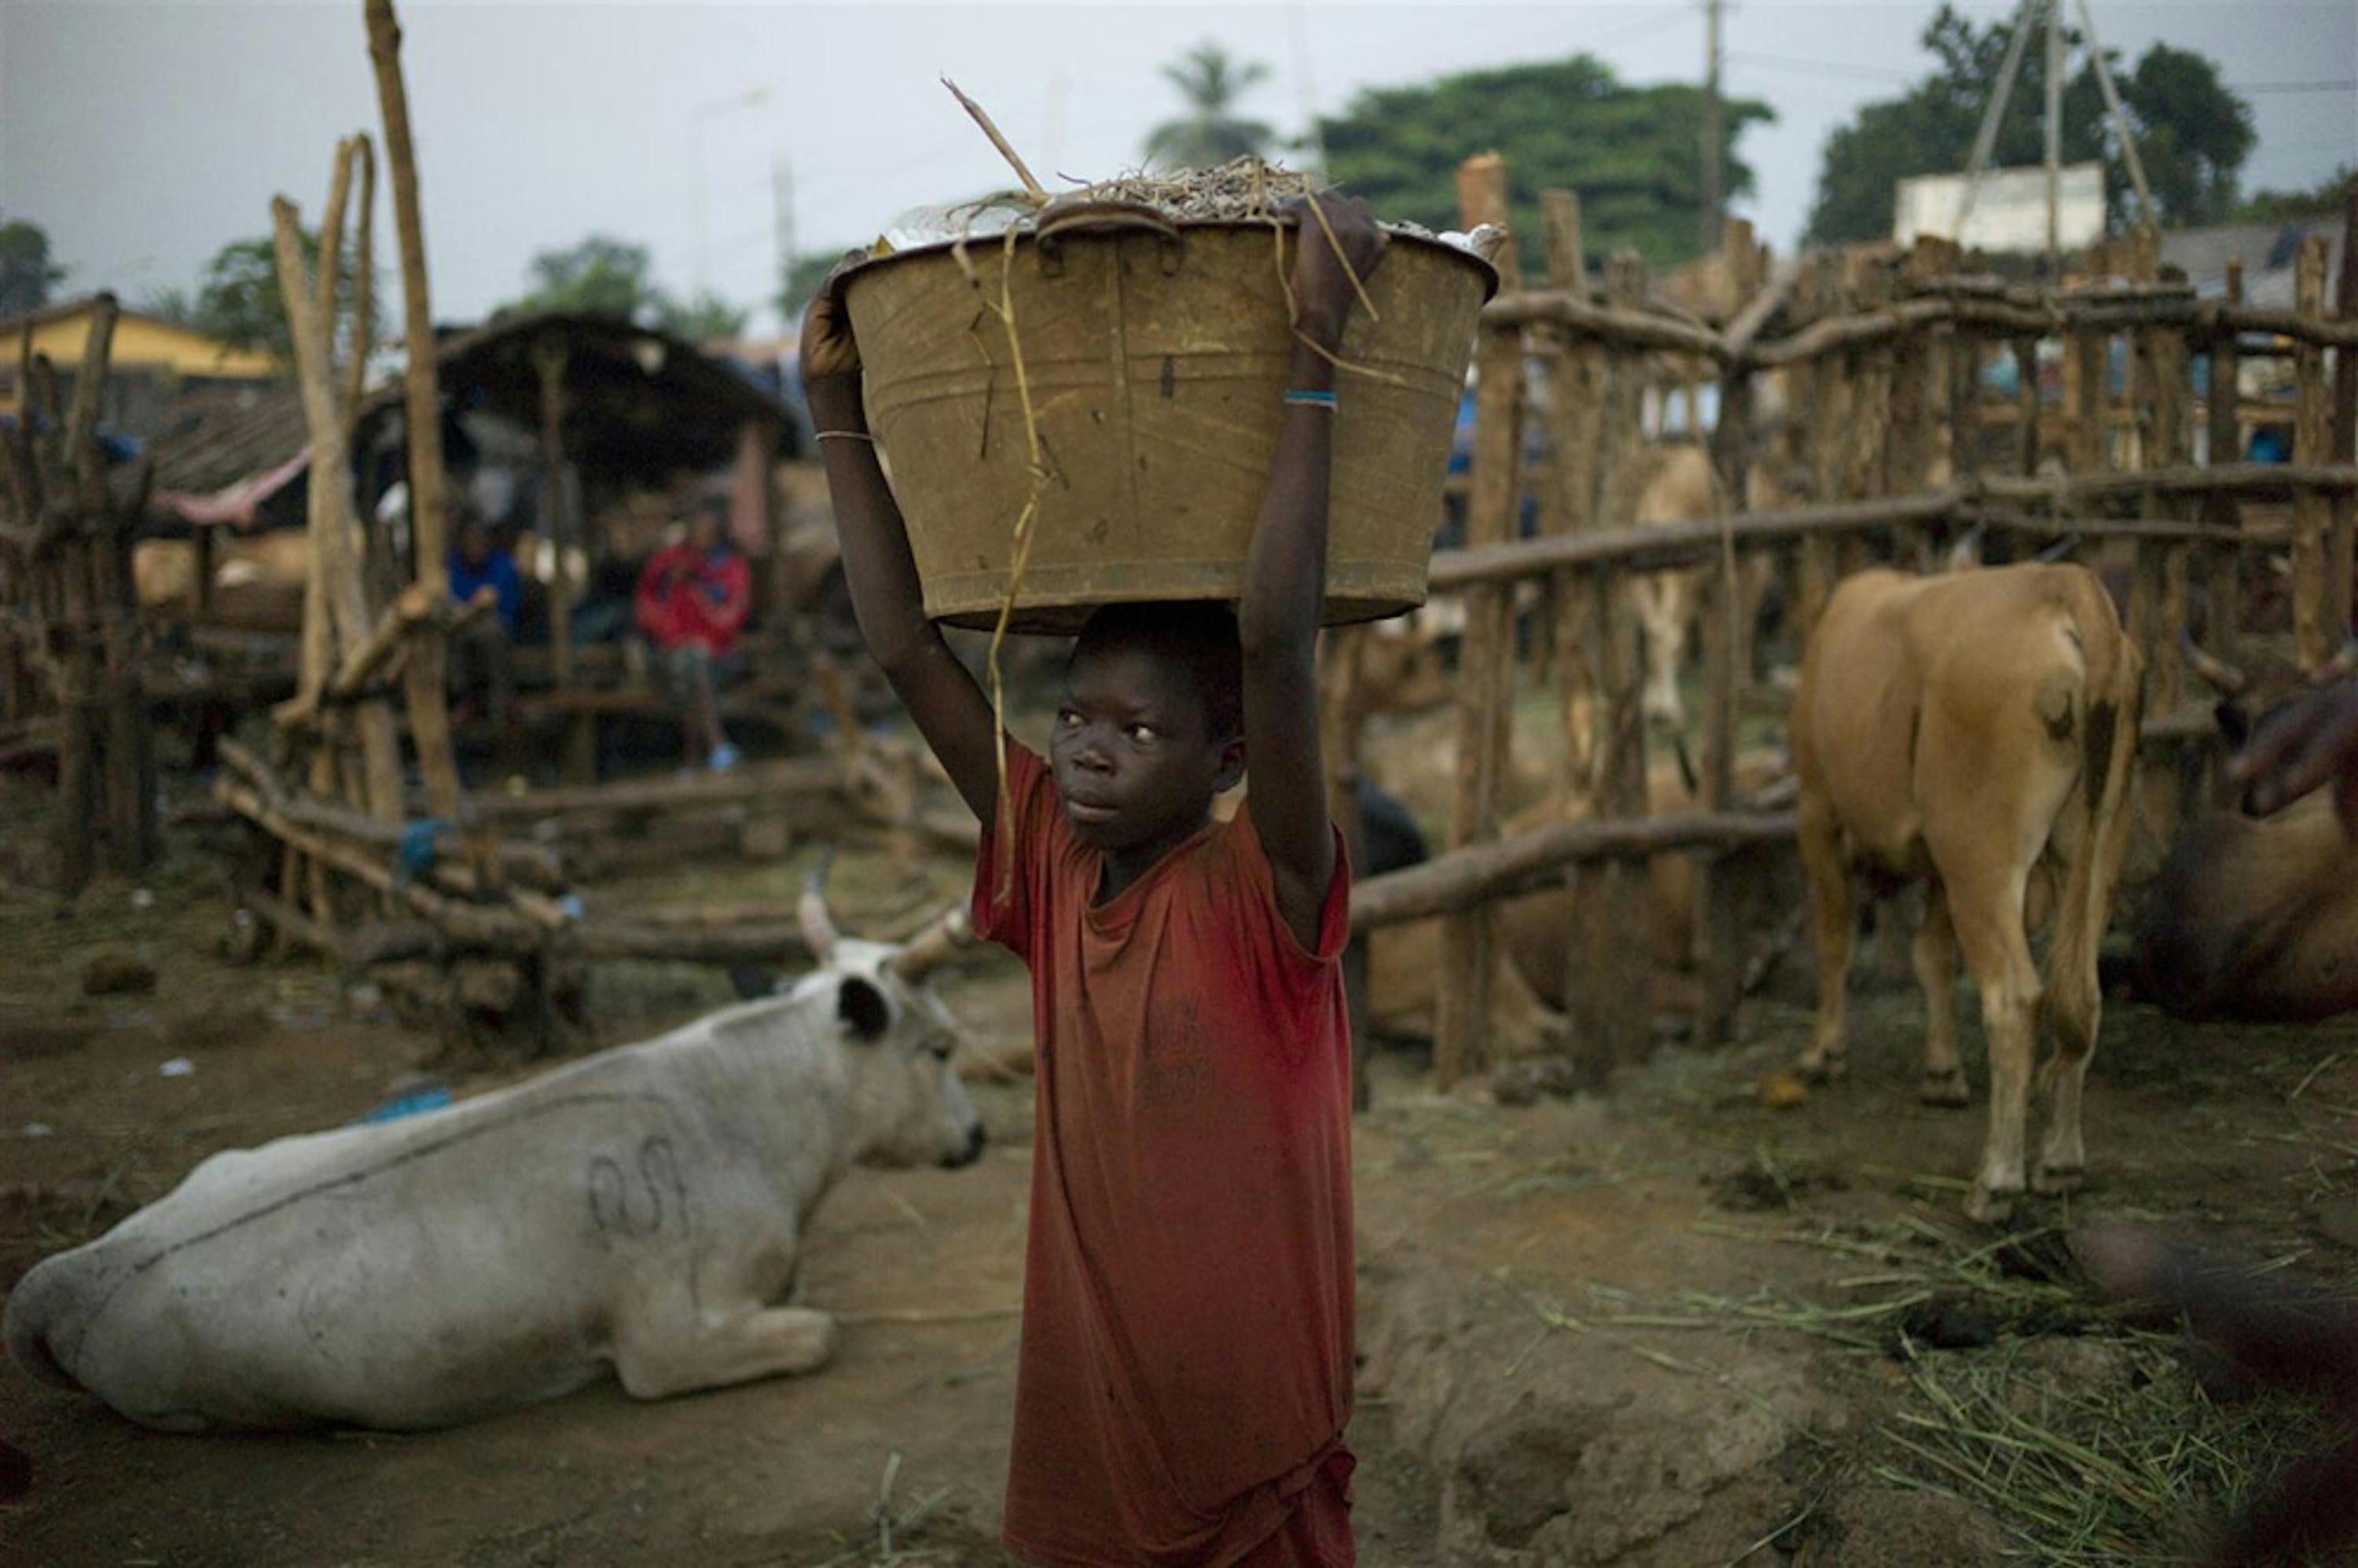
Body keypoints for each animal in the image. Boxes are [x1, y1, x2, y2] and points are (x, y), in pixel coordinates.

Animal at [0, 887, 976, 1424]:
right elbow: (818, 1332)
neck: (744, 1114)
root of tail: (70, 1270)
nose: (976, 1137)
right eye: (940, 1047)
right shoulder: (667, 1338)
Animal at [1792, 564, 2150, 1226]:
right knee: (2082, 996)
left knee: (2013, 998)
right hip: (2098, 845)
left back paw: (1996, 1182)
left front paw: (1823, 1051)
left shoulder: (1818, 812)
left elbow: (1835, 941)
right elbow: (1932, 953)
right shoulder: (1939, 862)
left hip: (1980, 855)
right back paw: (2059, 1162)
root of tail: (2060, 580)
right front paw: (1941, 1071)